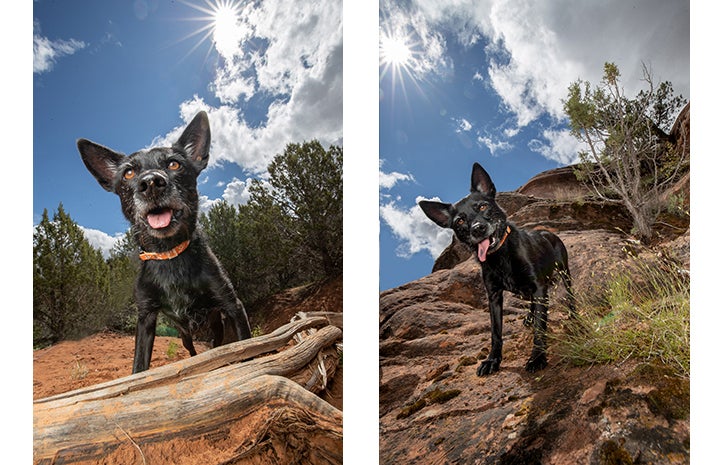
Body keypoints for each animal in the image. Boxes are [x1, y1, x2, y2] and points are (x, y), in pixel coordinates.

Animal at [77, 110, 252, 372]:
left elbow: (249, 351)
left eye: (174, 164)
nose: (151, 183)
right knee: (191, 348)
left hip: (215, 326)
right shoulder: (146, 318)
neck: (169, 253)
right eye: (129, 173)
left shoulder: (233, 306)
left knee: (216, 345)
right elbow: (139, 366)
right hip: (184, 334)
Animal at [416, 161, 572, 376]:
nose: (478, 229)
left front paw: (537, 357)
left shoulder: (538, 287)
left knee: (569, 297)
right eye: (460, 220)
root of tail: (548, 232)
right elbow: (496, 333)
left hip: (565, 273)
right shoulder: (494, 296)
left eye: (483, 206)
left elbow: (541, 327)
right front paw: (492, 360)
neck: (501, 257)